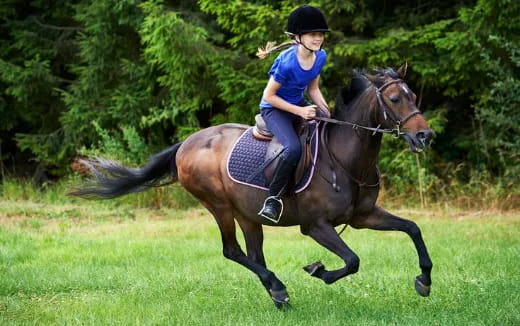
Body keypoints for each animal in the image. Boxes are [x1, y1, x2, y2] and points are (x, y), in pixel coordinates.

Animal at [70, 63, 434, 308]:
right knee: (232, 251)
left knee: (253, 254)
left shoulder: (363, 216)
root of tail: (187, 143)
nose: (425, 136)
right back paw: (279, 287)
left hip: (248, 214)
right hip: (219, 206)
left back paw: (277, 293)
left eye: (414, 95)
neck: (346, 158)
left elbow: (412, 229)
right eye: (394, 99)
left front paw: (424, 280)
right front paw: (318, 270)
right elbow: (353, 260)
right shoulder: (315, 226)